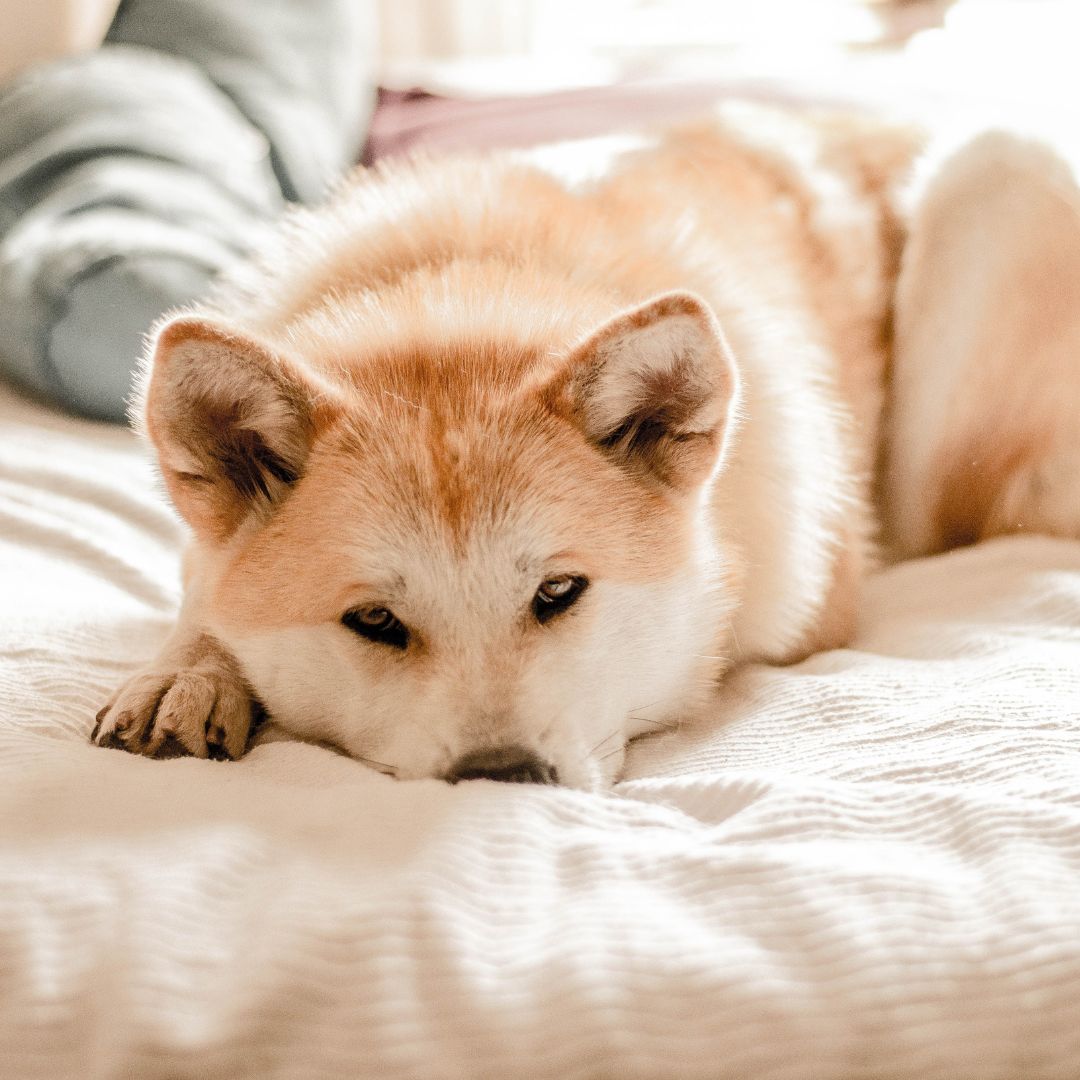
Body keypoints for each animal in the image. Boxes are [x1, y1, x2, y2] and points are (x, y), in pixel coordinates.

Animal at [88, 101, 1080, 790]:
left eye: (559, 593)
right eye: (373, 621)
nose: (501, 777)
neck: (468, 286)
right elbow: (205, 596)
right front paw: (187, 674)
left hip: (998, 174)